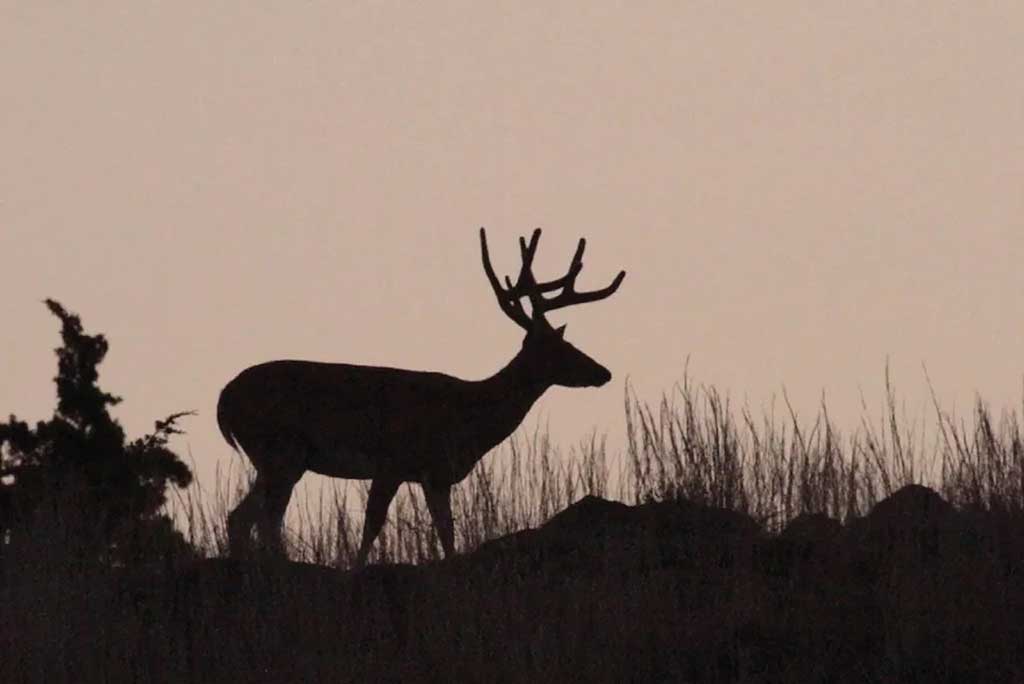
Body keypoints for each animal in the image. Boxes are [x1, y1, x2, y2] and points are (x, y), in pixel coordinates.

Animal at [216, 227, 626, 566]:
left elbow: (447, 531)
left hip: (276, 457)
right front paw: (357, 568)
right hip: (281, 449)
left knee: (242, 517)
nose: (603, 372)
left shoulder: (436, 476)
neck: (468, 417)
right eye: (563, 348)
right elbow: (373, 524)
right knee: (265, 517)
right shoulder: (393, 460)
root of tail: (223, 399)